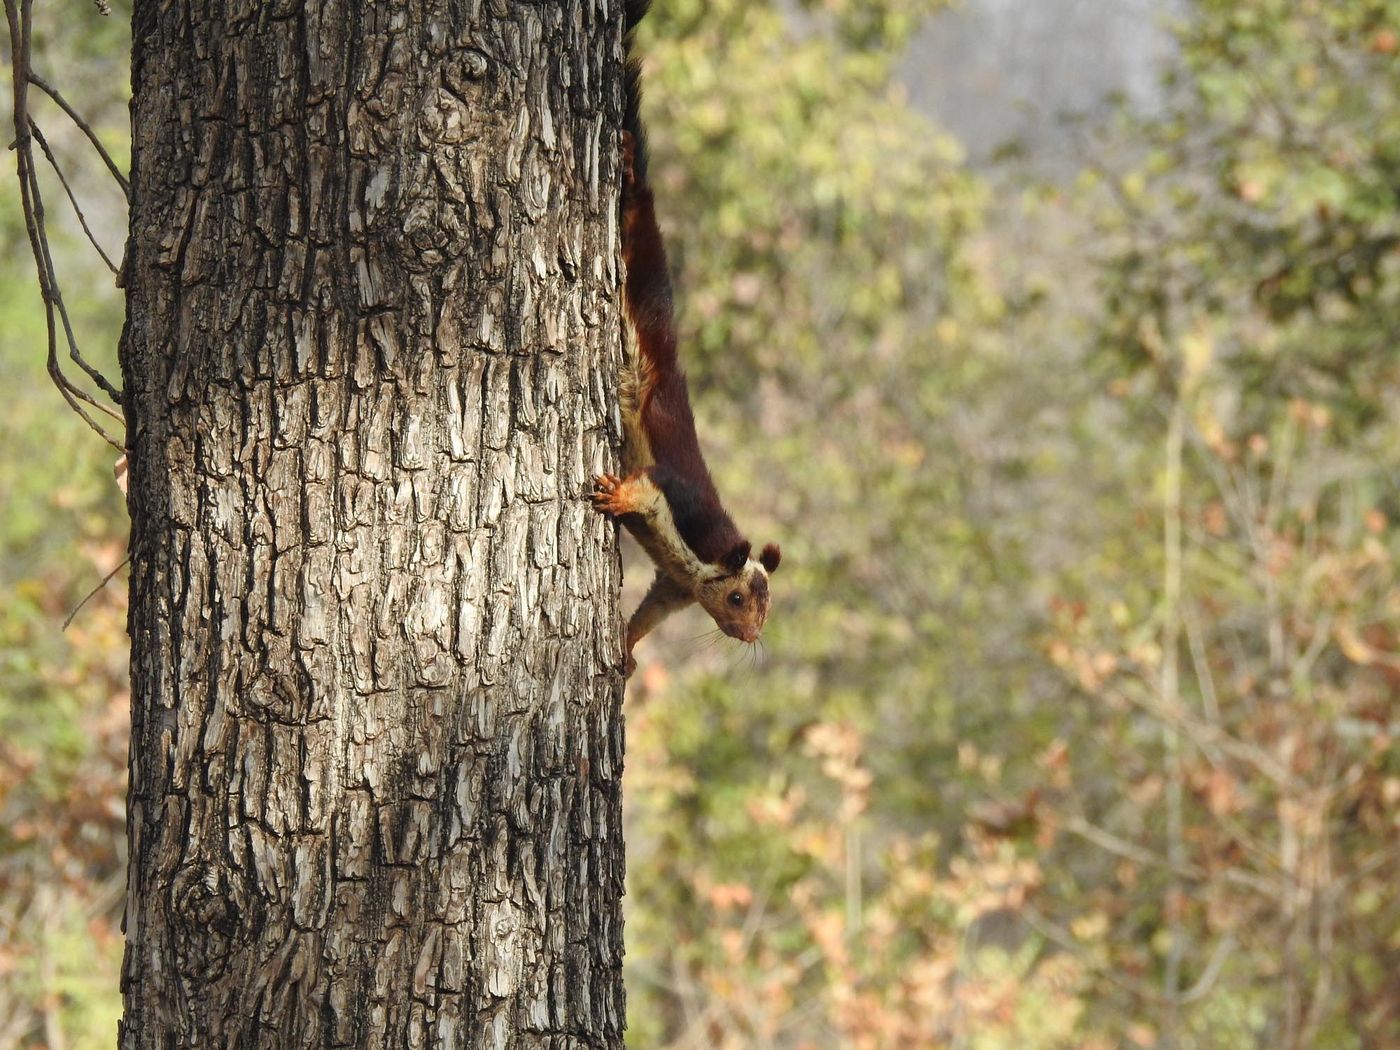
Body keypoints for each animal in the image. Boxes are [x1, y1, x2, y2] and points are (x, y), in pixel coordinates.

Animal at [590, 0, 784, 674]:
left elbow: (648, 612)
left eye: (767, 607)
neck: (703, 564)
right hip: (639, 256)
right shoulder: (683, 506)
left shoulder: (672, 586)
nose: (750, 637)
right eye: (737, 599)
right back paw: (625, 158)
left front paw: (624, 649)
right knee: (634, 200)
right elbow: (649, 484)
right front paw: (617, 496)